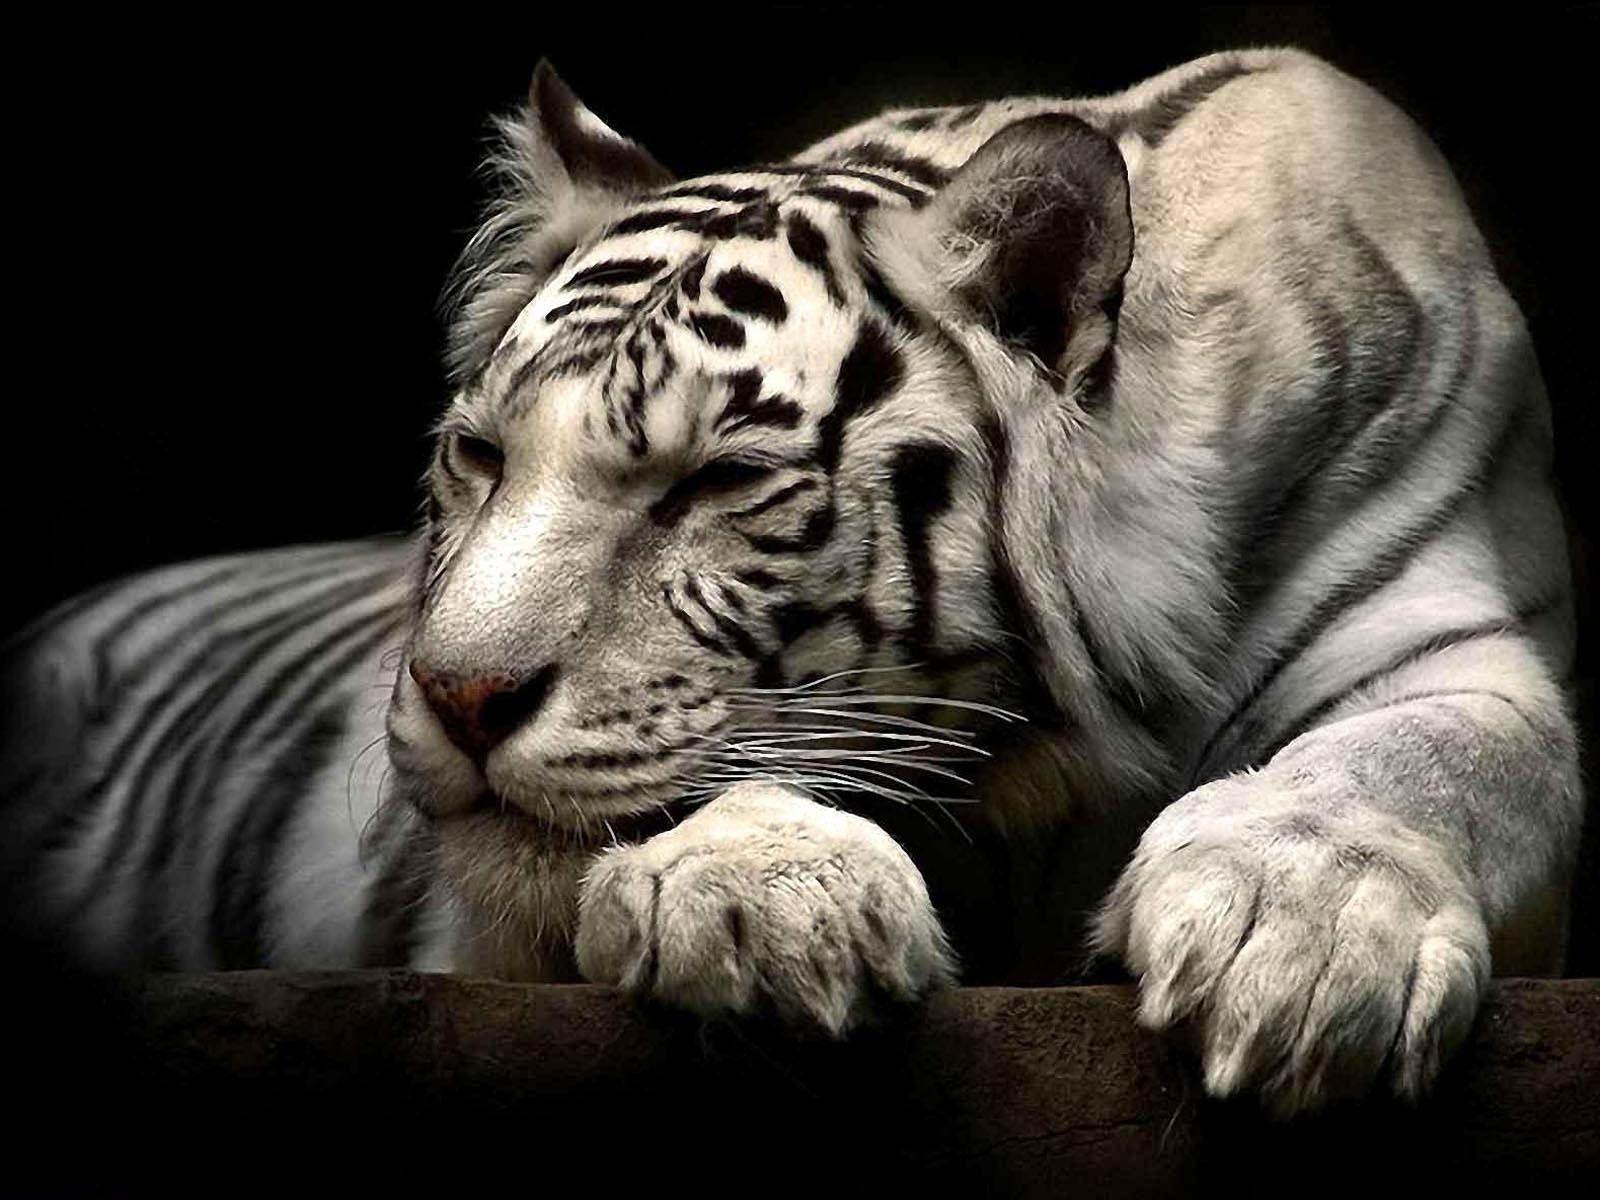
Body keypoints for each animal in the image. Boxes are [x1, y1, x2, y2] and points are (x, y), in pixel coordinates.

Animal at [0, 47, 1580, 1117]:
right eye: (479, 455)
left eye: (710, 484)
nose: (455, 696)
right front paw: (764, 899)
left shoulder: (1452, 633)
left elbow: (1428, 761)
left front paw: (1299, 940)